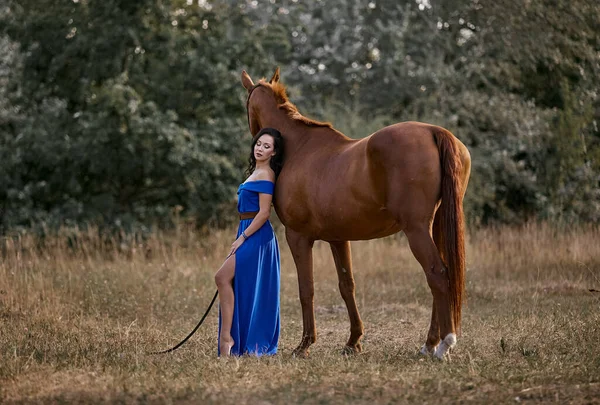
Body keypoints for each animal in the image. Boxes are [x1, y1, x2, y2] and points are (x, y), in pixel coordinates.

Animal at [241, 68, 472, 358]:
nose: (255, 147)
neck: (300, 148)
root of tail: (434, 131)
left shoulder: (298, 237)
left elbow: (307, 289)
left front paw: (304, 345)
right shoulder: (338, 239)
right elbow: (346, 286)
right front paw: (353, 341)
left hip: (417, 229)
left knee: (437, 274)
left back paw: (442, 345)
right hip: (435, 226)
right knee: (442, 275)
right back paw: (430, 343)